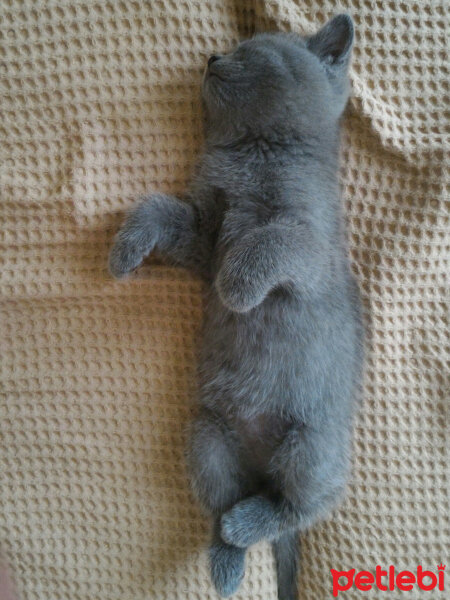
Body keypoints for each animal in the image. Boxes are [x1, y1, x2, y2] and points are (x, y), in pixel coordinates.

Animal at [108, 15, 362, 600]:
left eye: (252, 48)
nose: (213, 58)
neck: (255, 151)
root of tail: (261, 468)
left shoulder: (309, 242)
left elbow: (267, 242)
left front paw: (236, 289)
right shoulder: (204, 235)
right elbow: (161, 207)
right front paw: (125, 249)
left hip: (311, 446)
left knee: (303, 506)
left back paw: (250, 523)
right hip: (208, 439)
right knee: (223, 505)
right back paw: (226, 558)